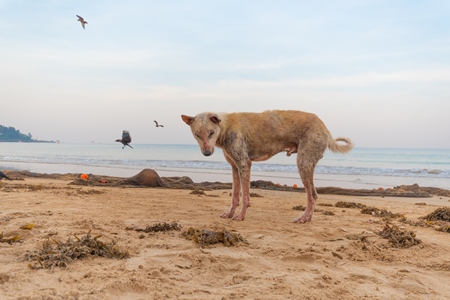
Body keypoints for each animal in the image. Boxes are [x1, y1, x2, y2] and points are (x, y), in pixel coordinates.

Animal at [181, 110, 354, 223]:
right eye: (197, 134)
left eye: (211, 132)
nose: (207, 153)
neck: (226, 126)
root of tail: (325, 128)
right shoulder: (235, 168)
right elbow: (235, 195)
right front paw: (230, 214)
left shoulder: (244, 164)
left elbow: (245, 197)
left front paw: (241, 216)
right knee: (314, 195)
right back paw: (308, 218)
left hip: (303, 164)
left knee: (312, 195)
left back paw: (304, 218)